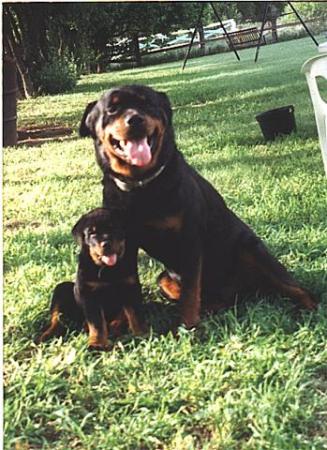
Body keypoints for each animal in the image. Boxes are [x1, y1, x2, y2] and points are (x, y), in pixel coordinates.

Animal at [36, 207, 145, 352]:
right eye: (92, 233)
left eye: (114, 228)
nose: (106, 244)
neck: (108, 270)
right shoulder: (89, 294)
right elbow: (97, 322)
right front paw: (97, 343)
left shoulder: (130, 287)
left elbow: (135, 314)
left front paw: (142, 335)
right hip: (62, 289)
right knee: (56, 319)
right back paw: (46, 335)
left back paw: (114, 326)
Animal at [79, 85, 318, 330]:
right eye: (112, 109)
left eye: (148, 103)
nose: (135, 119)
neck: (142, 186)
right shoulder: (125, 242)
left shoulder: (189, 240)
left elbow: (190, 292)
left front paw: (188, 326)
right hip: (165, 278)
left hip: (253, 249)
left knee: (298, 289)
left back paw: (307, 310)